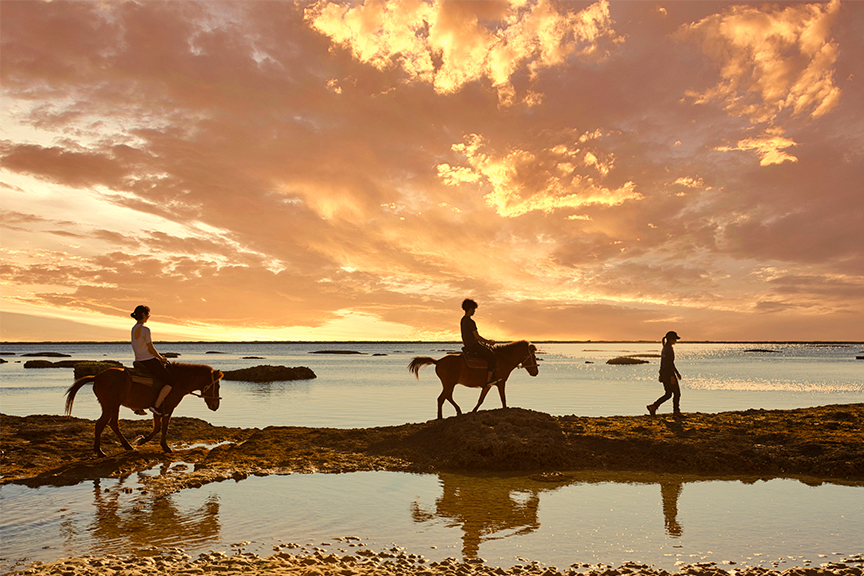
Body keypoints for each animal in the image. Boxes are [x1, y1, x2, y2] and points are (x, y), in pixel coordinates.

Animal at [64, 362, 223, 456]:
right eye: (218, 386)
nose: (216, 406)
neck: (177, 381)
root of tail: (97, 376)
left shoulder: (158, 410)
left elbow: (157, 427)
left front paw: (142, 440)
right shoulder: (167, 408)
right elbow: (163, 428)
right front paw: (163, 446)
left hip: (114, 406)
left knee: (113, 424)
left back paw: (127, 446)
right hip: (109, 406)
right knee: (100, 425)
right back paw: (100, 451)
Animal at [406, 340, 540, 420]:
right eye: (533, 356)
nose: (536, 372)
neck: (502, 360)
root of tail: (438, 361)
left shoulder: (488, 385)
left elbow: (481, 400)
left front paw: (473, 411)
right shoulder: (501, 383)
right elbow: (503, 399)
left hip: (450, 384)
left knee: (448, 397)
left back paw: (459, 411)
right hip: (449, 384)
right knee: (441, 398)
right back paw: (440, 417)